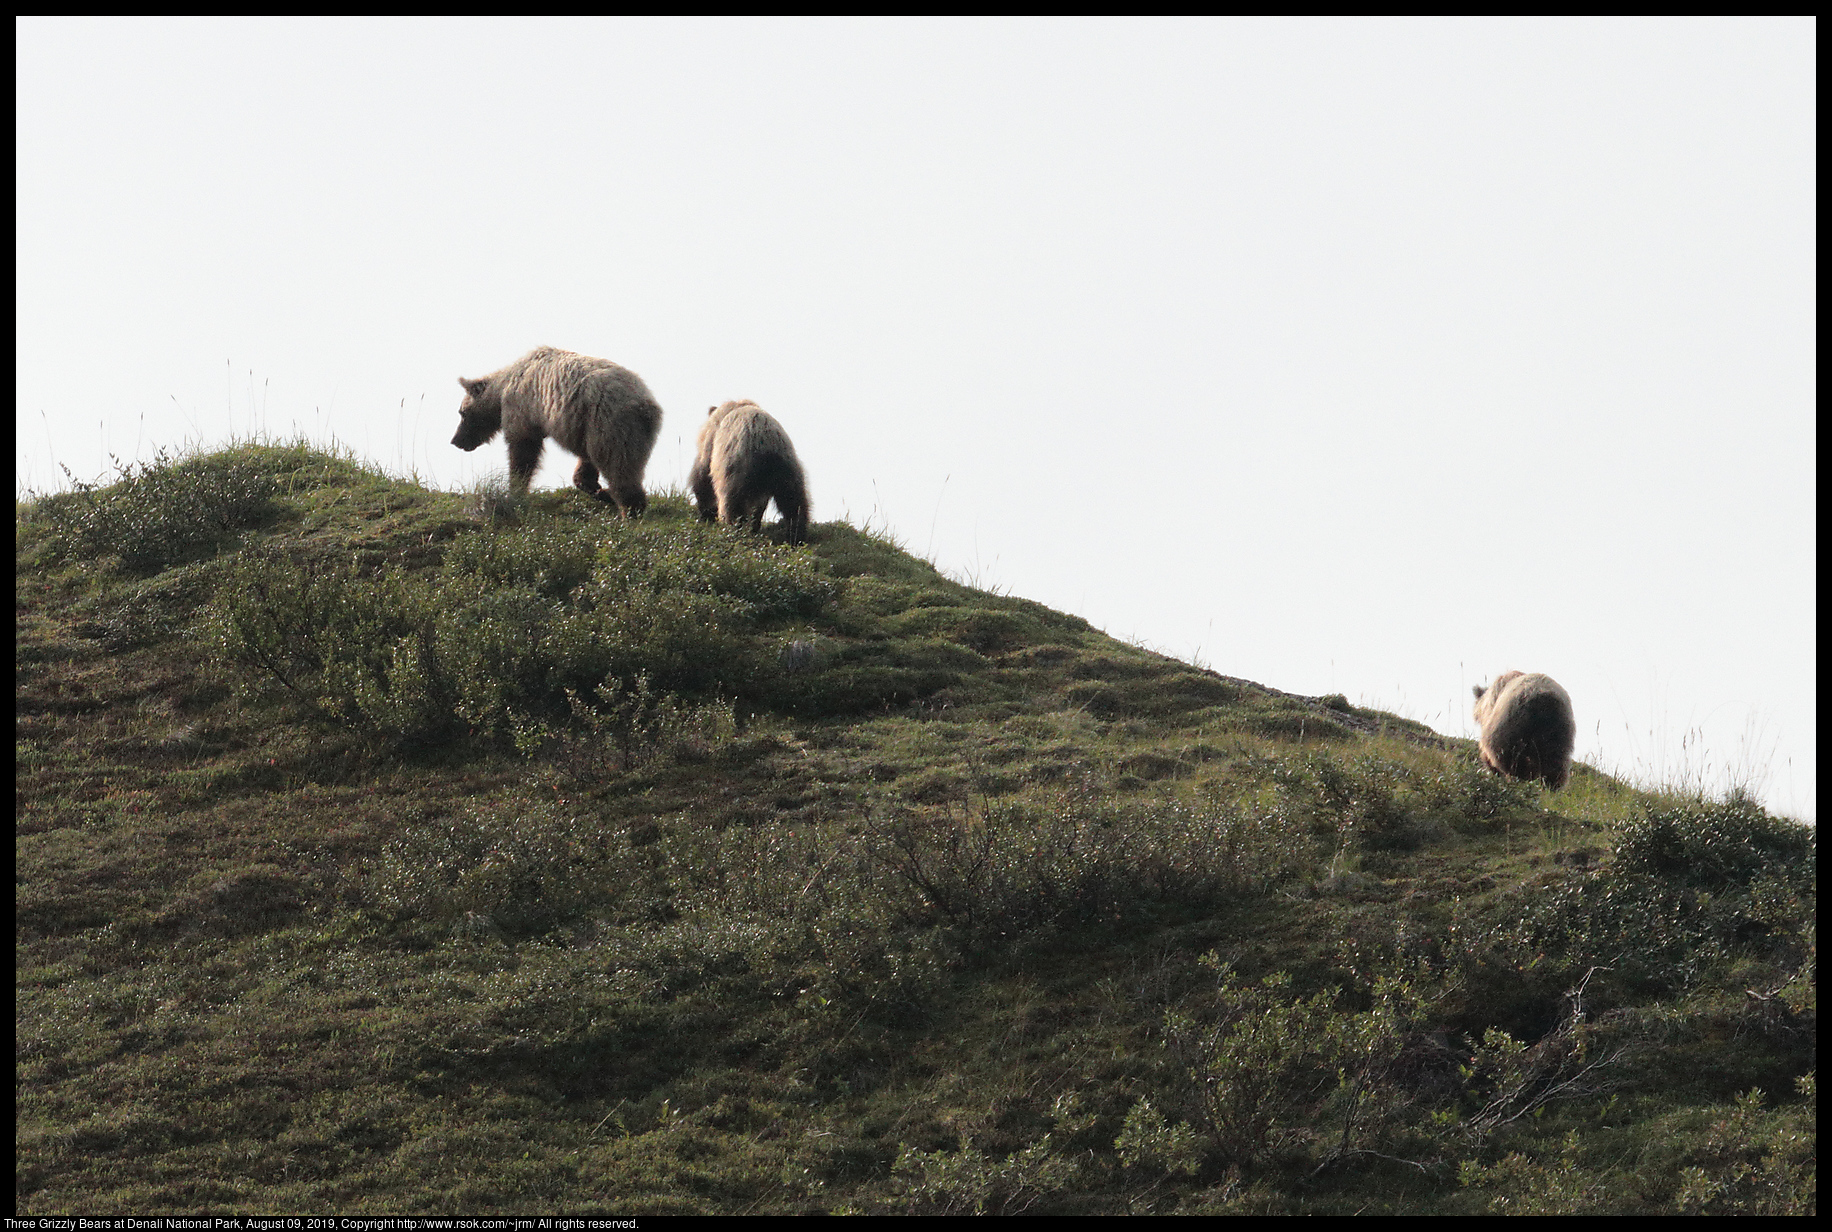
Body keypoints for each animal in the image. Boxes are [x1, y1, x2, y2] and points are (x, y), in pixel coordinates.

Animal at [448, 346, 663, 513]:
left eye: (462, 413)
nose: (455, 440)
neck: (502, 388)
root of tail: (643, 403)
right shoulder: (582, 427)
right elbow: (586, 460)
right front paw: (594, 487)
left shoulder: (522, 408)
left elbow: (523, 450)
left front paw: (515, 491)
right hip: (630, 430)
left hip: (611, 421)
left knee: (617, 465)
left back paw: (631, 508)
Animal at [688, 399, 813, 542]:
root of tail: (766, 445)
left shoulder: (712, 442)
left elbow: (702, 476)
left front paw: (706, 514)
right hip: (787, 467)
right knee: (794, 501)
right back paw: (796, 536)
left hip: (736, 465)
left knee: (733, 502)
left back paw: (734, 529)